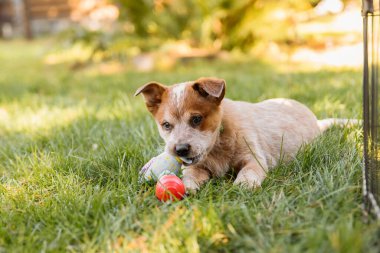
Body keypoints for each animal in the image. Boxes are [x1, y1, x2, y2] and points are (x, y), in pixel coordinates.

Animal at [136, 77, 336, 192]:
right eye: (166, 125)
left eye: (196, 119)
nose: (180, 150)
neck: (218, 144)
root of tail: (316, 121)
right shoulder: (197, 166)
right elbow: (191, 174)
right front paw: (187, 185)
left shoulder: (254, 159)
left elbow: (248, 172)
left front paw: (243, 185)